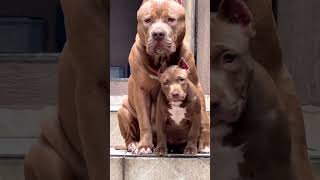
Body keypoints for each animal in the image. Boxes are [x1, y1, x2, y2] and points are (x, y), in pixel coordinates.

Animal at [117, 0, 210, 155]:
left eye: (171, 20)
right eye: (148, 20)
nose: (158, 34)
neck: (161, 59)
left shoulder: (196, 86)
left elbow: (203, 118)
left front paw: (203, 145)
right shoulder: (141, 90)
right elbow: (144, 121)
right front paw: (144, 146)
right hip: (123, 111)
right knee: (130, 136)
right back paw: (134, 145)